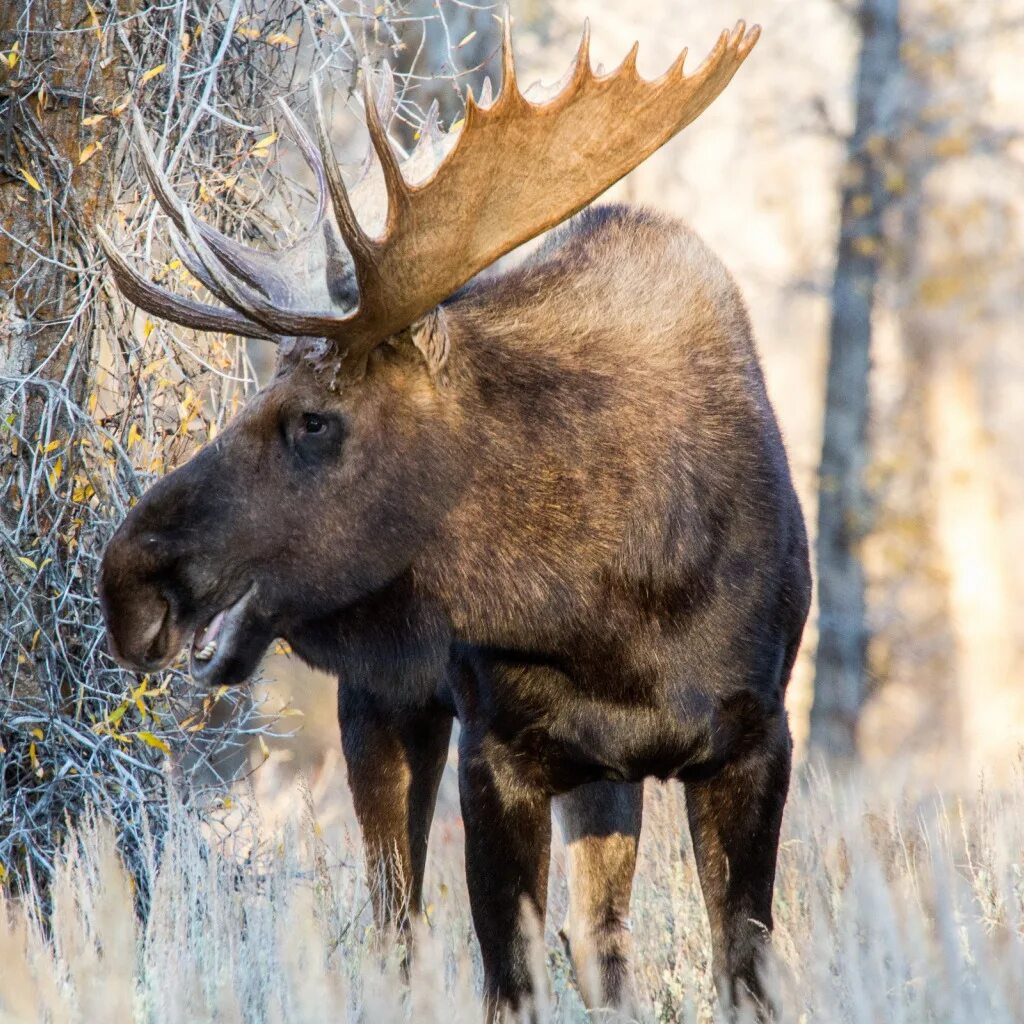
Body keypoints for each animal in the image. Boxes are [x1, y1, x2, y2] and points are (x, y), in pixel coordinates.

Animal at [99, 18, 811, 1024]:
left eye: (314, 419)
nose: (129, 579)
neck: (617, 611)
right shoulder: (497, 746)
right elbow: (508, 976)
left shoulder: (755, 739)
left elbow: (736, 970)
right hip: (388, 704)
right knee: (395, 925)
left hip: (597, 774)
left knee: (598, 943)